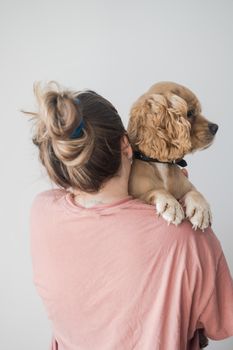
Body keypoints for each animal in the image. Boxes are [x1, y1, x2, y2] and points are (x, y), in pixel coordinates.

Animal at [126, 80, 218, 231]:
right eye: (190, 113)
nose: (216, 127)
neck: (161, 164)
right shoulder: (137, 195)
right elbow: (157, 190)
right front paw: (172, 206)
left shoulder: (187, 185)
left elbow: (195, 192)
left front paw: (201, 211)